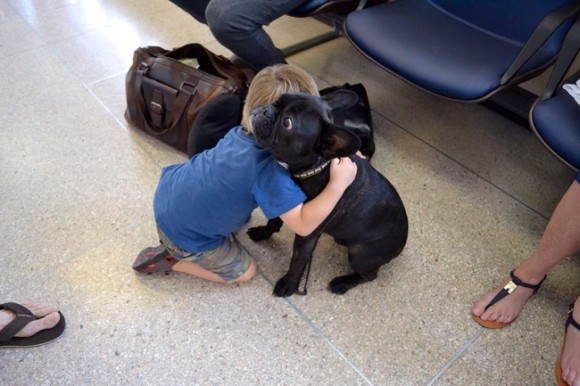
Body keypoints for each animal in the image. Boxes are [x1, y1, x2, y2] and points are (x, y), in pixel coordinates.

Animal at [248, 90, 408, 296]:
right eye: (279, 99)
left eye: (287, 123)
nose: (266, 110)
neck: (317, 168)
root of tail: (403, 240)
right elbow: (273, 222)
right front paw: (262, 234)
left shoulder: (307, 236)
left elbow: (297, 262)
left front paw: (289, 285)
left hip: (360, 255)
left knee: (369, 276)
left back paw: (342, 283)